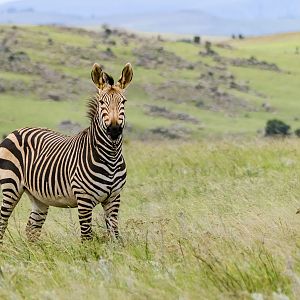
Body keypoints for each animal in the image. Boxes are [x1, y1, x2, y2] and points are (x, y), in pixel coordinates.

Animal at [0, 62, 132, 243]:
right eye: (101, 102)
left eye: (123, 101)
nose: (114, 129)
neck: (110, 157)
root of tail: (18, 130)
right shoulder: (84, 199)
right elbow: (87, 237)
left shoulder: (114, 198)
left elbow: (115, 236)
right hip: (10, 185)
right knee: (3, 223)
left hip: (38, 196)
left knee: (32, 229)